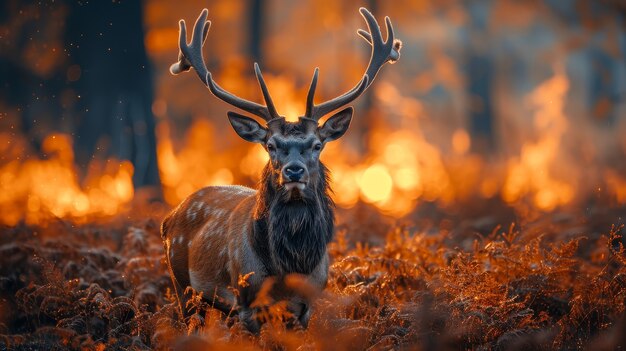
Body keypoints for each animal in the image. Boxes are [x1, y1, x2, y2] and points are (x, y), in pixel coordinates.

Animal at [161, 6, 400, 334]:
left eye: (316, 145)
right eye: (271, 145)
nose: (294, 171)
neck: (289, 268)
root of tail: (168, 218)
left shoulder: (305, 308)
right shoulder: (246, 303)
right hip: (183, 287)